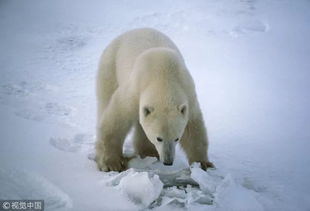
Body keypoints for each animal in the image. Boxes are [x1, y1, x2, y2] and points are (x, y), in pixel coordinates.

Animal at [95, 28, 214, 172]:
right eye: (159, 138)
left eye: (177, 138)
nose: (168, 162)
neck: (163, 76)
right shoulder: (135, 90)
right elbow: (116, 121)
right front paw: (111, 164)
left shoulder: (188, 95)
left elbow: (194, 128)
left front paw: (203, 163)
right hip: (110, 65)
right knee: (105, 100)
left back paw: (148, 153)